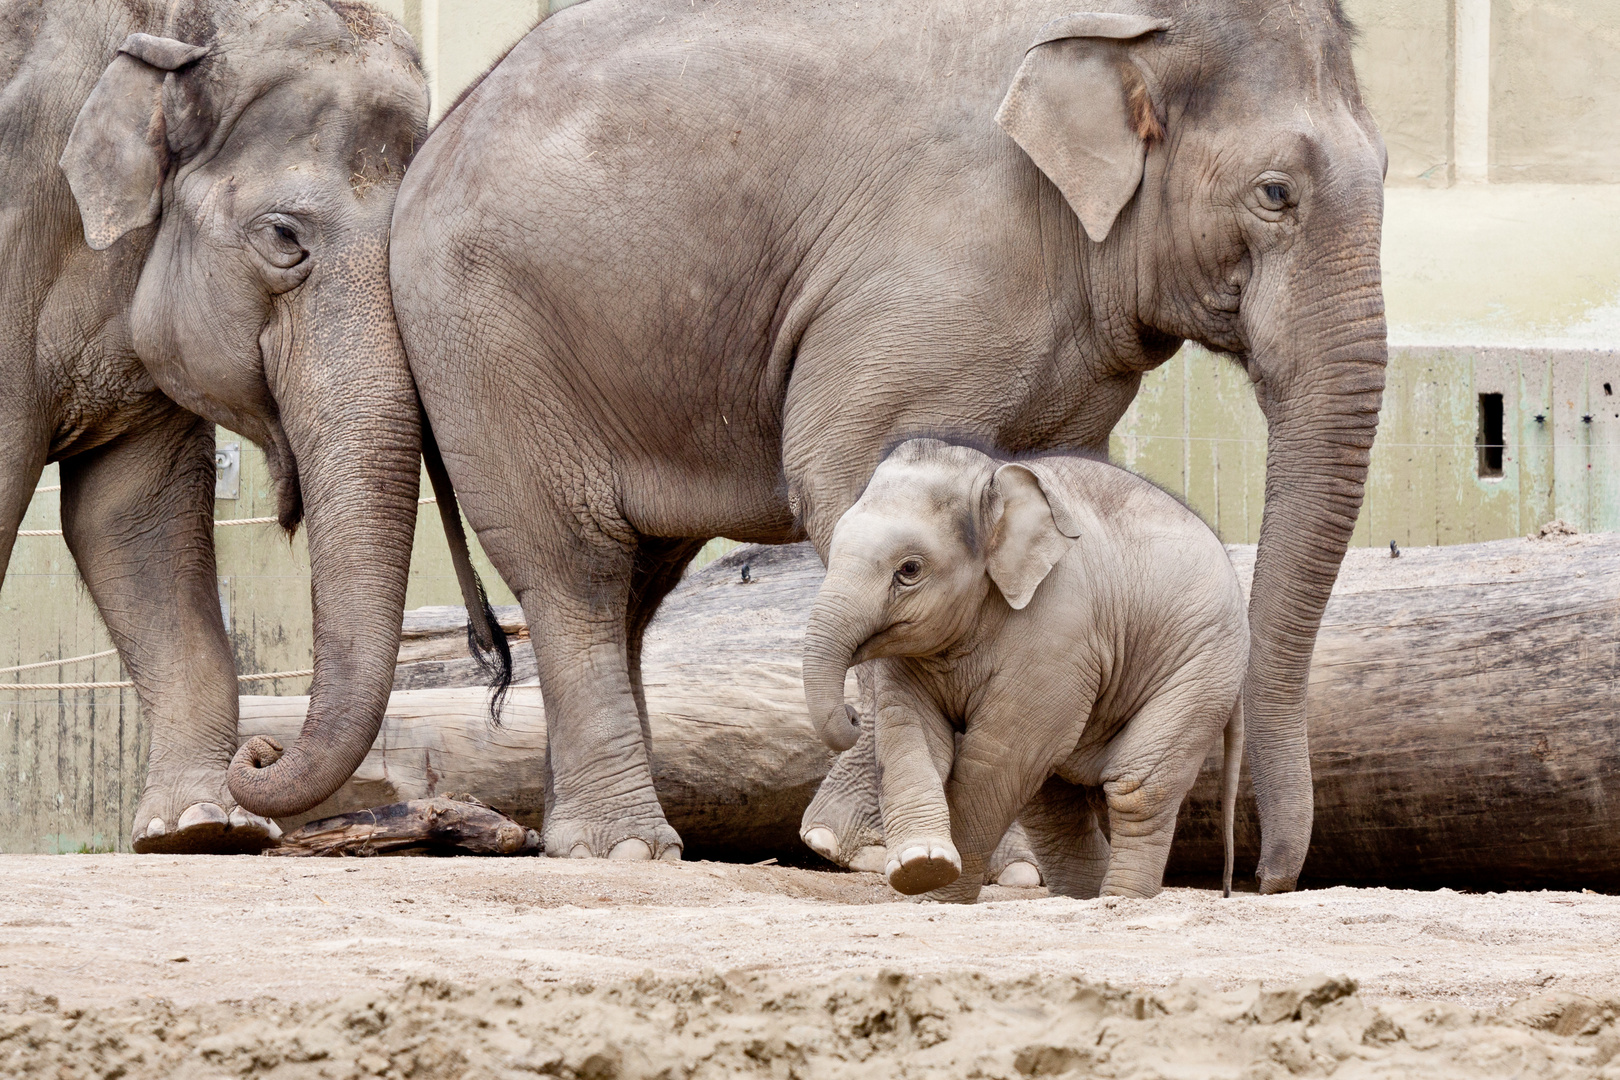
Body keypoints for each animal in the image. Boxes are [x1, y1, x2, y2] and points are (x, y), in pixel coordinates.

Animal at [803, 440, 1244, 906]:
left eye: (909, 569)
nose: (851, 714)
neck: (995, 480)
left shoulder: (1058, 629)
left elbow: (997, 755)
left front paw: (932, 890)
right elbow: (909, 730)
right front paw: (920, 868)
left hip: (1202, 667)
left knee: (1135, 787)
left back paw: (1120, 899)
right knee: (1054, 806)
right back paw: (1082, 899)